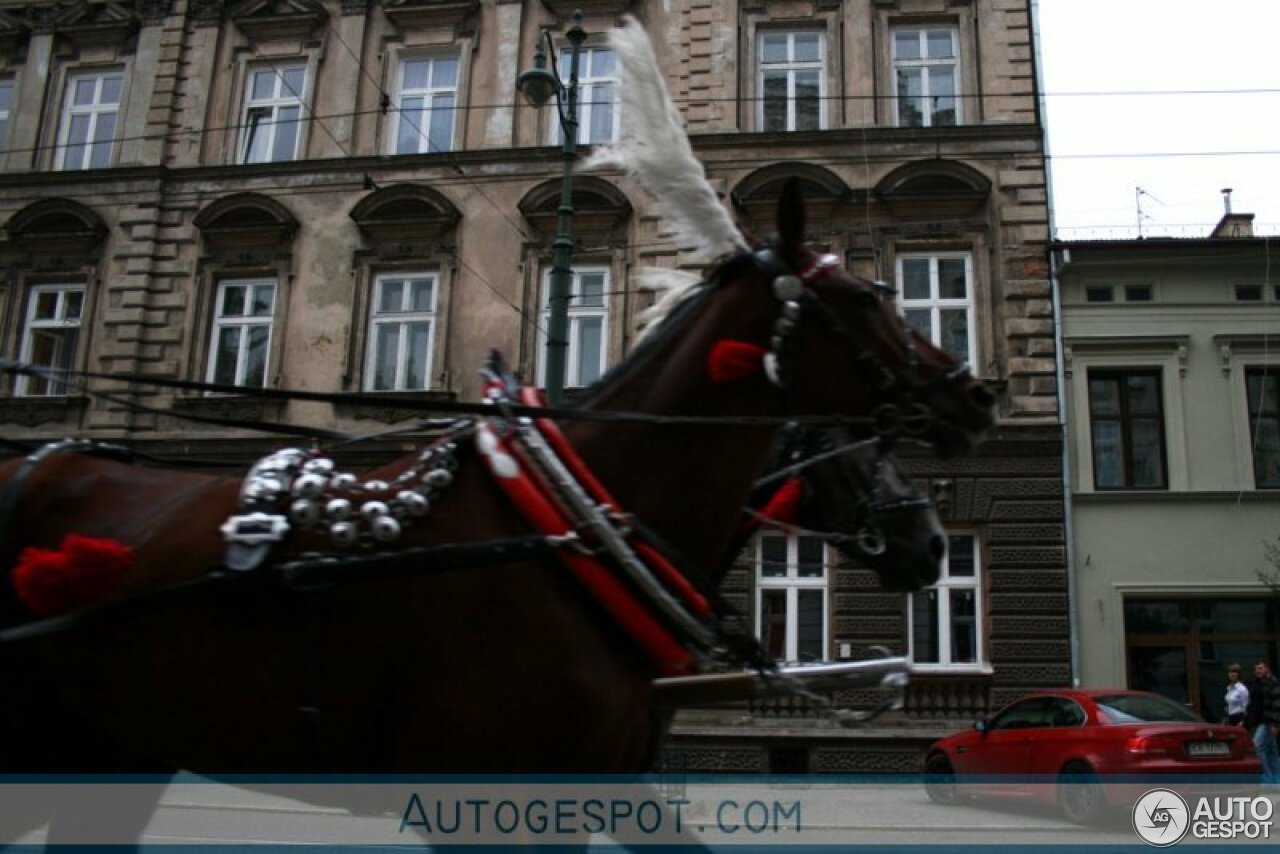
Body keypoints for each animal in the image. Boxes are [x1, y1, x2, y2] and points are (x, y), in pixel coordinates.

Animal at [0, 16, 988, 845]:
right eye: (860, 299)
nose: (970, 396)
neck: (576, 525)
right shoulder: (487, 797)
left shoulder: (604, 785)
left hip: (113, 747)